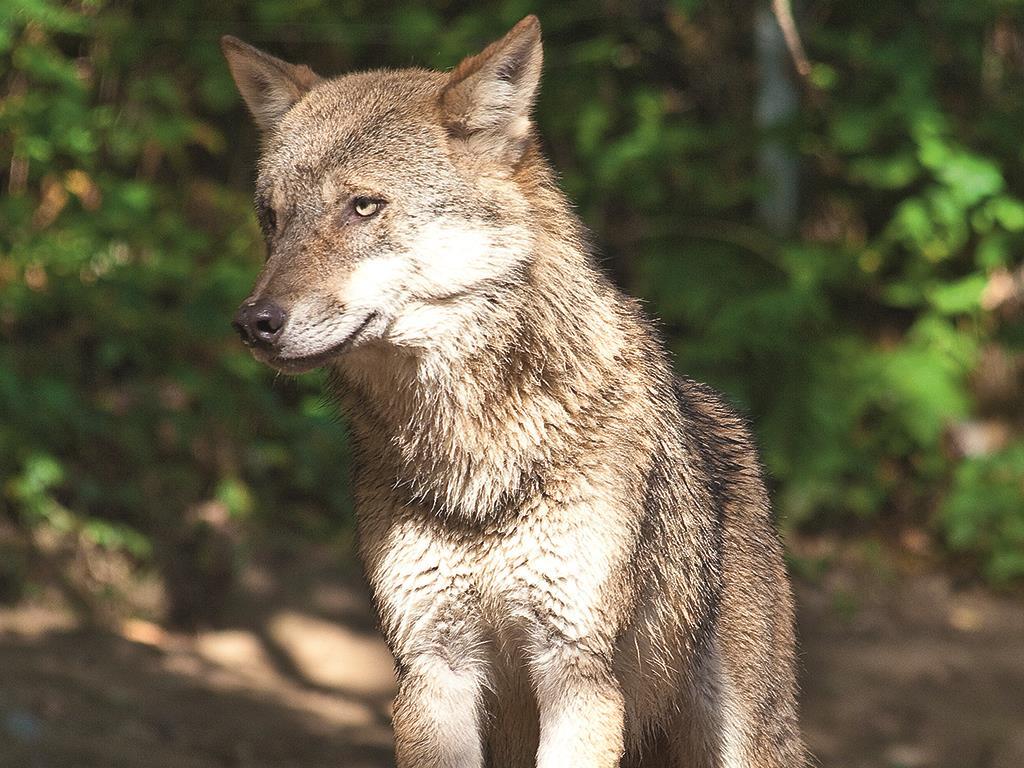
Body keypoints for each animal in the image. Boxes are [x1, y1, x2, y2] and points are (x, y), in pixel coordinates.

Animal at [222, 15, 804, 768]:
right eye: (271, 218)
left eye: (362, 206)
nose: (253, 323)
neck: (476, 460)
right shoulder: (433, 670)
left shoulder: (575, 670)